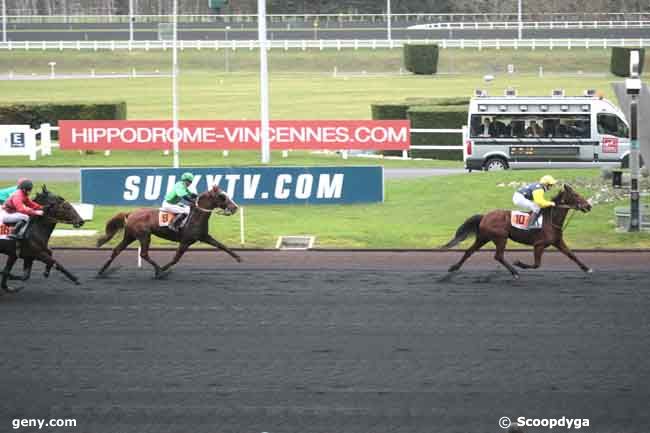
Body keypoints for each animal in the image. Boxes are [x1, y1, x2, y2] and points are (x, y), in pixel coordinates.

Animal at [98, 185, 243, 278]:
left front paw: (238, 257)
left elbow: (221, 245)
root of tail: (131, 213)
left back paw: (101, 271)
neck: (196, 215)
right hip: (144, 236)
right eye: (222, 196)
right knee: (143, 254)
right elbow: (175, 259)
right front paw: (163, 270)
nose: (235, 207)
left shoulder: (204, 236)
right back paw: (159, 271)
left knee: (117, 250)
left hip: (130, 236)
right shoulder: (185, 241)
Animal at [442, 183, 588, 278]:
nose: (588, 206)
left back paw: (454, 267)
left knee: (469, 251)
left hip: (484, 237)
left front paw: (586, 268)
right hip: (500, 238)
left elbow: (572, 255)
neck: (550, 219)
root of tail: (484, 216)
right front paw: (519, 263)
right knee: (498, 256)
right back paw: (515, 272)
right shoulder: (539, 244)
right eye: (576, 195)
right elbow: (537, 264)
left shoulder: (557, 241)